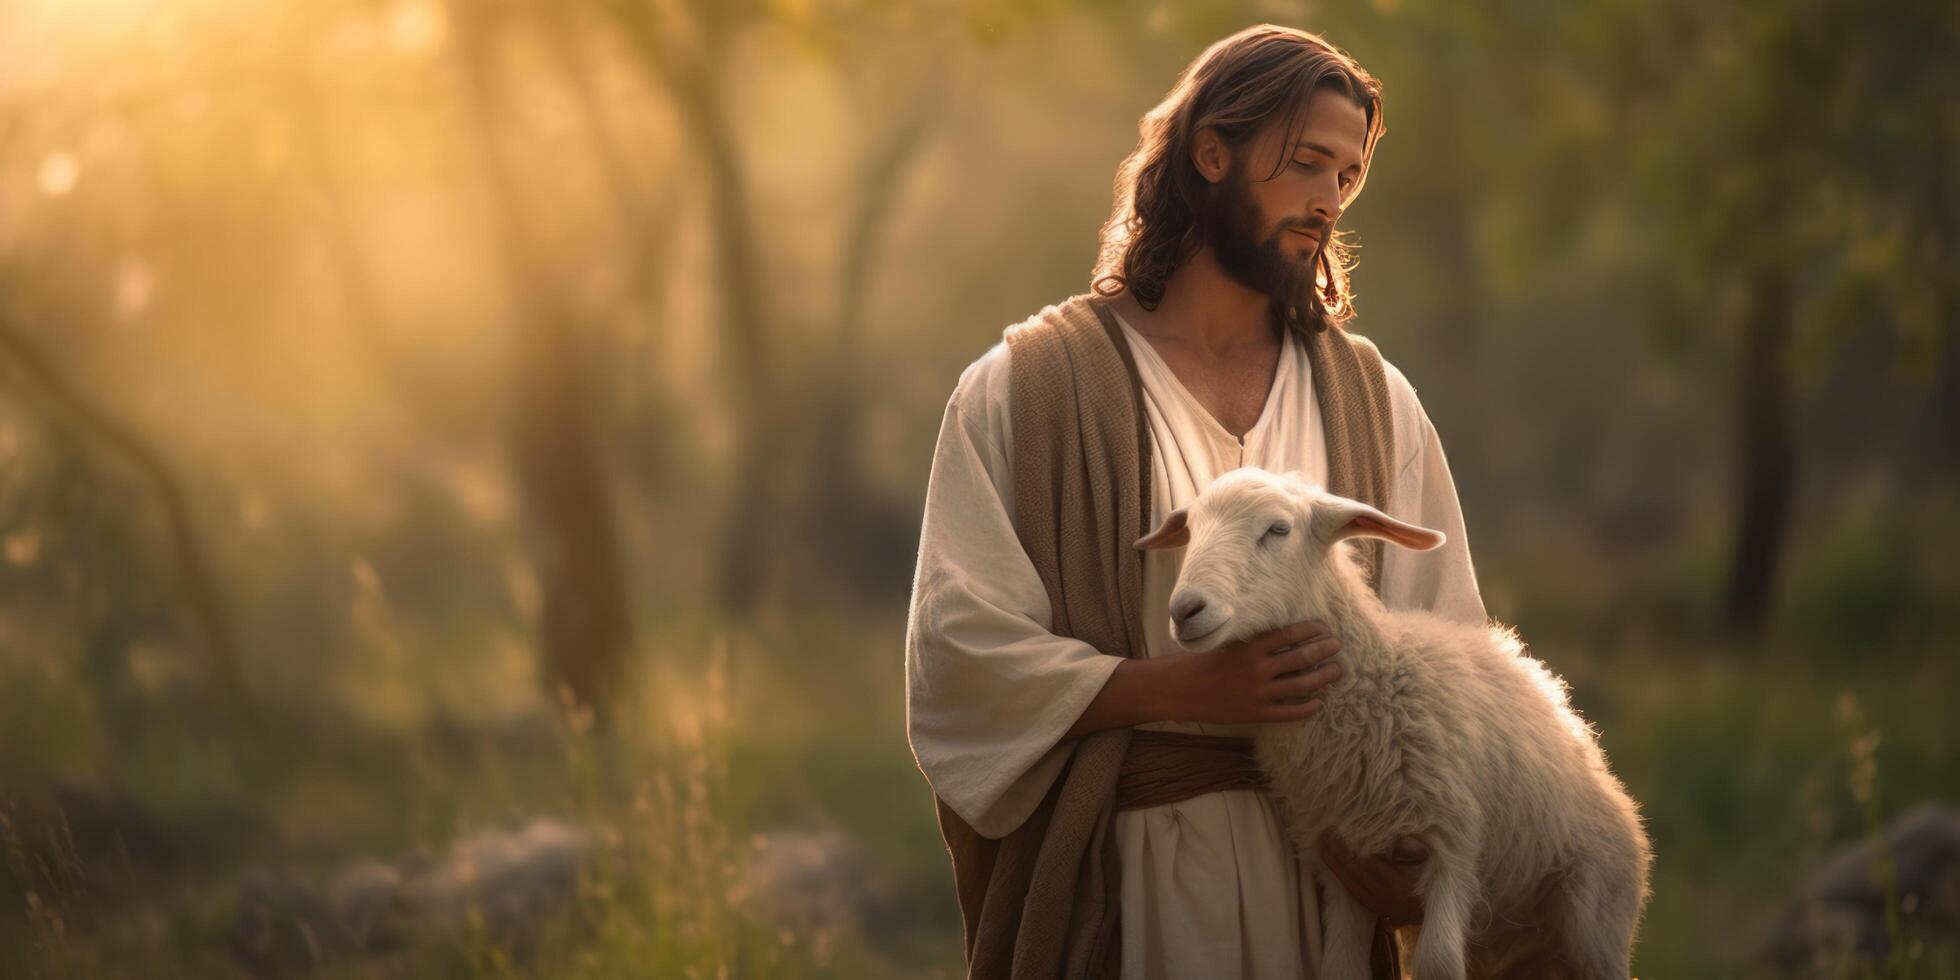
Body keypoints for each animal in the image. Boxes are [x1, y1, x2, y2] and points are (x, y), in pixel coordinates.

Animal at [1136, 468, 1654, 980]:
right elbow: (1339, 967)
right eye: (1191, 529)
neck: (1381, 684)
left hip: (1595, 917)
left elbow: (1438, 963)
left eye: (1278, 529)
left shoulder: (1452, 847)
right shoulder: (1341, 859)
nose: (1185, 610)